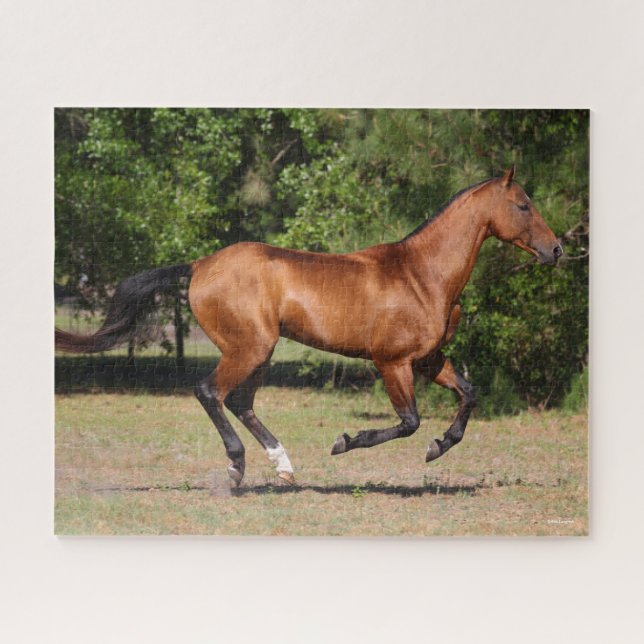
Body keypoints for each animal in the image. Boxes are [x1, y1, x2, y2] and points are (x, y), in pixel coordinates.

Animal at [55, 167, 562, 487]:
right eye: (523, 205)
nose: (556, 250)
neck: (422, 276)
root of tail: (200, 265)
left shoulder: (429, 360)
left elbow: (469, 394)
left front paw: (440, 446)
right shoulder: (392, 362)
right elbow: (409, 421)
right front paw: (345, 442)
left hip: (259, 351)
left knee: (239, 402)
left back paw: (283, 467)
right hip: (248, 348)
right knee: (210, 392)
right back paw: (237, 468)